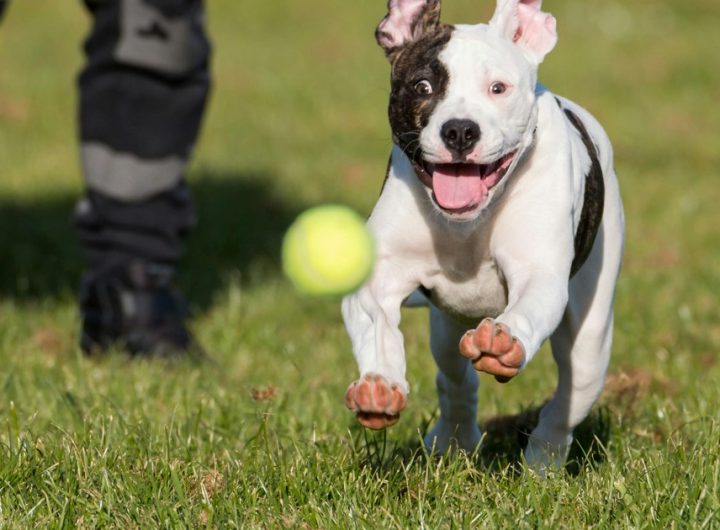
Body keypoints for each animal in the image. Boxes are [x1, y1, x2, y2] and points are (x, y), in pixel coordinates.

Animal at [341, 0, 625, 471]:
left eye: (498, 88)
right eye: (422, 85)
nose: (459, 130)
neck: (468, 223)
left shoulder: (539, 273)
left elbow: (529, 304)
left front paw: (503, 340)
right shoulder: (379, 278)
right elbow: (376, 321)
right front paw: (379, 383)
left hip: (592, 335)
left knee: (570, 397)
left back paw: (543, 463)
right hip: (446, 328)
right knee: (455, 379)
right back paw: (454, 439)